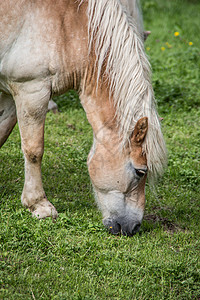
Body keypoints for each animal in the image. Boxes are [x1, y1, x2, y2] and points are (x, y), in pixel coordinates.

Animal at [0, 0, 166, 236]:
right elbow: (33, 151)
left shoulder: (9, 94)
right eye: (140, 172)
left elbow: (2, 133)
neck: (68, 25)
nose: (133, 228)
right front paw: (39, 204)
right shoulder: (31, 90)